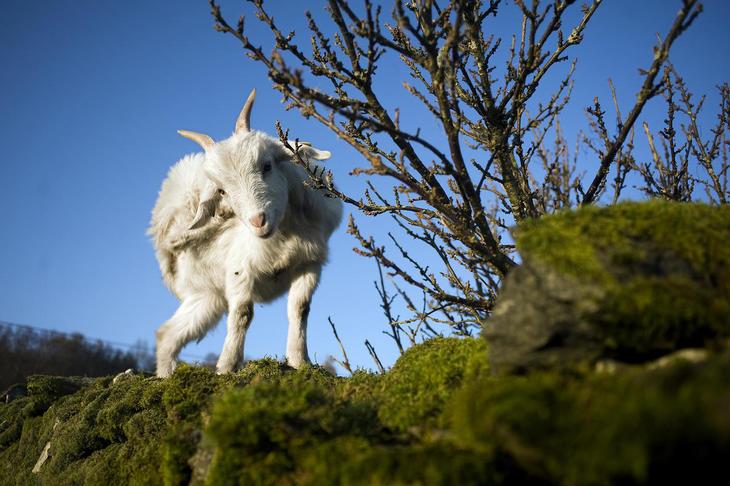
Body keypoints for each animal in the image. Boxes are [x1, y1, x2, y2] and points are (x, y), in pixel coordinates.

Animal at [149, 91, 342, 378]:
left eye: (267, 166)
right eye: (222, 191)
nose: (257, 221)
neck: (282, 235)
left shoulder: (309, 264)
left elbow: (300, 309)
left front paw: (299, 361)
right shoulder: (239, 269)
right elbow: (242, 314)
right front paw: (227, 366)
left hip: (207, 297)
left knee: (168, 334)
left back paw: (165, 375)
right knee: (169, 333)